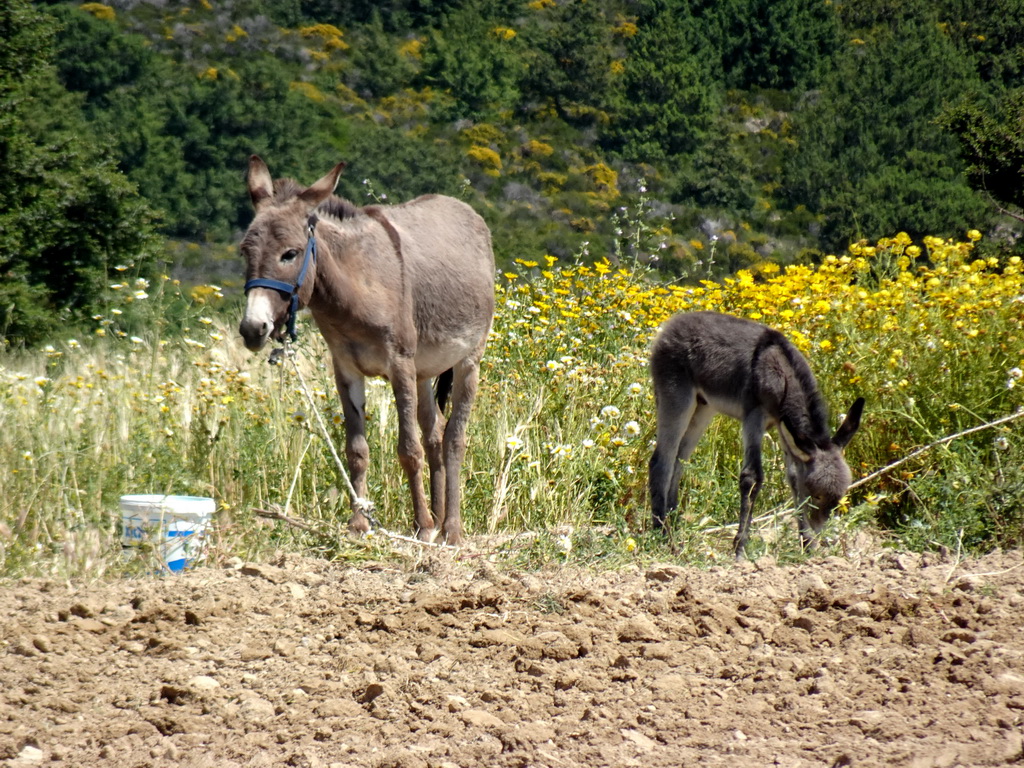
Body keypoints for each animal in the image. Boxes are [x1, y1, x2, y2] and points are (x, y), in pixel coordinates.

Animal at [647, 313, 864, 561]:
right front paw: (740, 548)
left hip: (703, 408)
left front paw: (807, 546)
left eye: (837, 500)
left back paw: (674, 526)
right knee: (661, 463)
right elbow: (751, 476)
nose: (821, 534)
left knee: (678, 462)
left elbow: (793, 477)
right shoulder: (754, 416)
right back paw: (663, 537)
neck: (781, 373)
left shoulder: (784, 427)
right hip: (676, 397)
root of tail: (675, 321)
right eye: (816, 496)